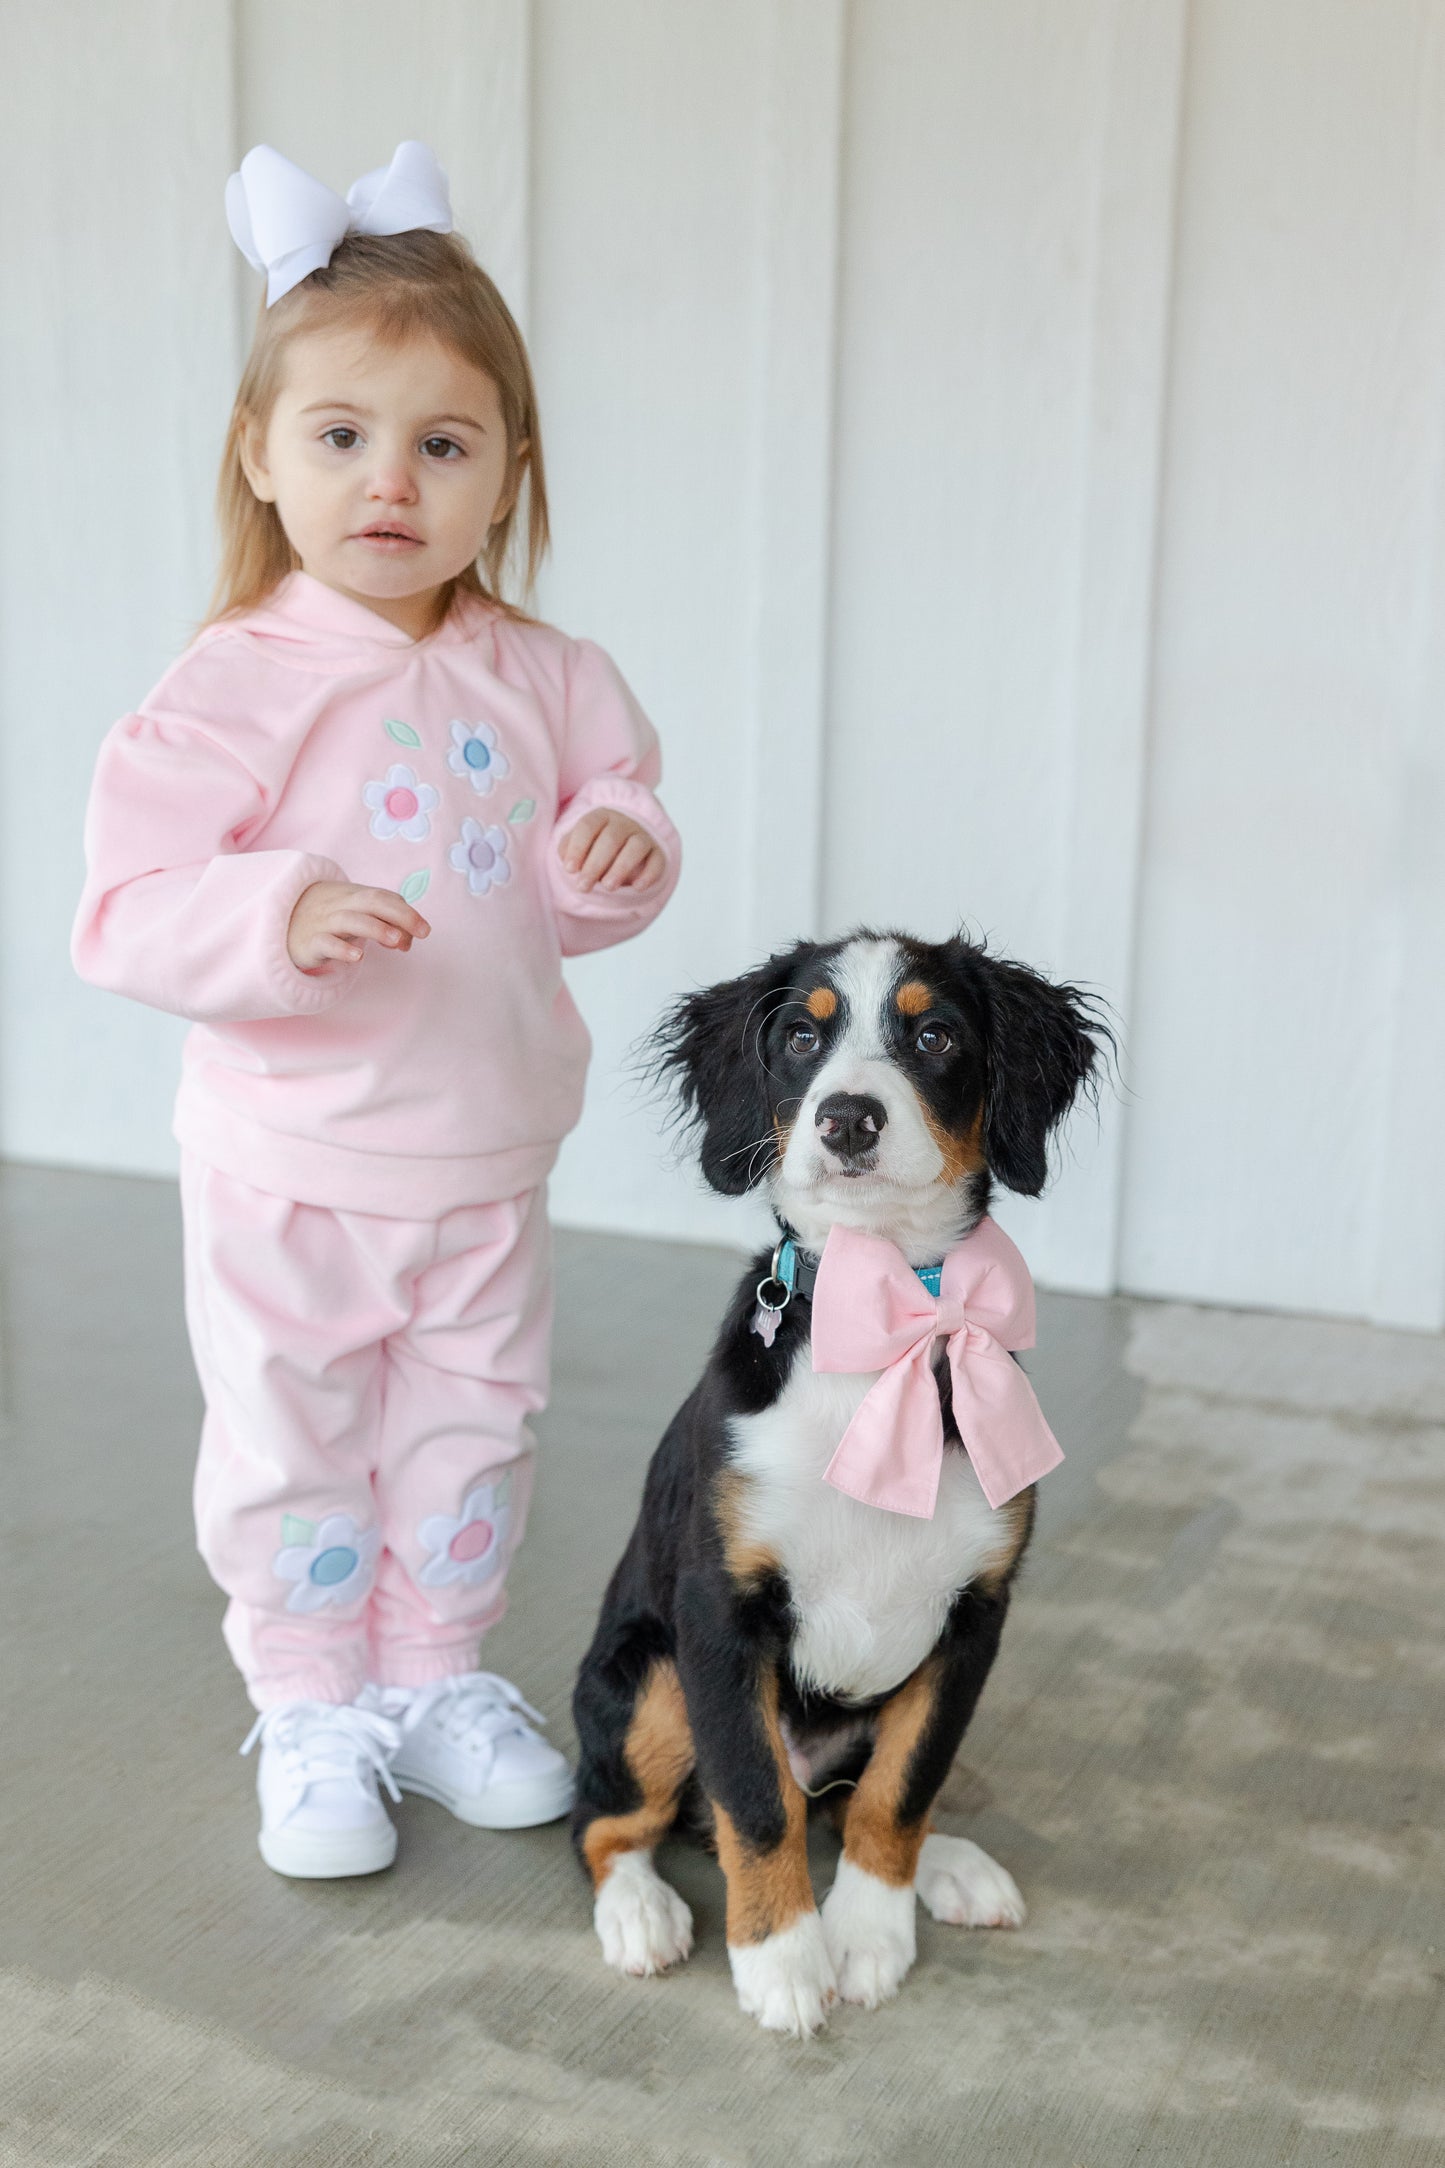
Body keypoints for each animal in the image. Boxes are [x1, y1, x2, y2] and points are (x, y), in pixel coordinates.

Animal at [571, 927, 1100, 2029]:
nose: (847, 1118)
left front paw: (867, 1930)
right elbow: (755, 1800)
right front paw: (780, 1958)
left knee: (851, 1796)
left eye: (934, 1035)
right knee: (604, 1817)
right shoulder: (717, 1615)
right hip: (646, 1675)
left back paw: (951, 1866)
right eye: (801, 1037)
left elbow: (902, 1788)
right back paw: (639, 1912)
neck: (879, 1317)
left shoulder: (971, 1617)